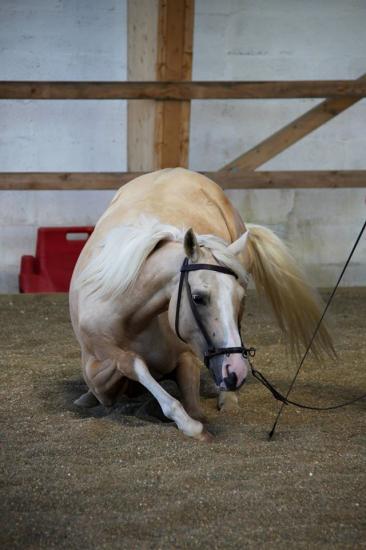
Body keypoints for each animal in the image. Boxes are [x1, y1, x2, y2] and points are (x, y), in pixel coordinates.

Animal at [69, 169, 334, 444]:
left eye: (238, 295)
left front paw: (190, 423)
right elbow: (130, 366)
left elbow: (189, 404)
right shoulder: (96, 364)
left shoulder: (187, 357)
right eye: (198, 298)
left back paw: (228, 400)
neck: (132, 318)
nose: (237, 371)